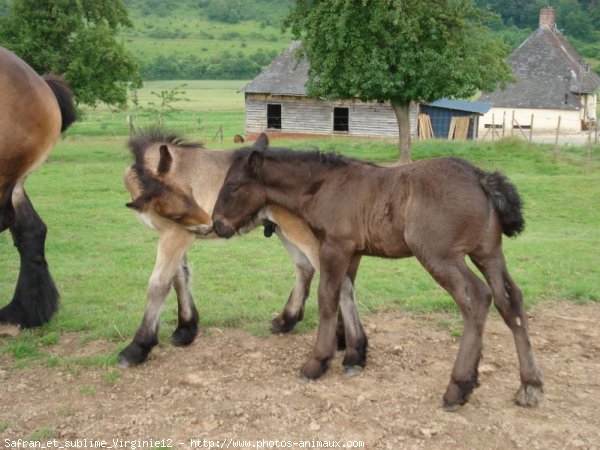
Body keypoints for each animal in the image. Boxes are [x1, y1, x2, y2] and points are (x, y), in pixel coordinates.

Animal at [118, 130, 366, 370]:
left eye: (190, 191)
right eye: (175, 213)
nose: (209, 225)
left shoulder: (175, 235)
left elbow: (159, 285)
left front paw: (137, 347)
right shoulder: (176, 234)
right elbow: (180, 277)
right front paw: (186, 328)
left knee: (339, 282)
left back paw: (352, 346)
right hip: (282, 229)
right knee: (306, 268)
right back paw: (288, 321)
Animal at [213, 146, 548, 410]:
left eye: (233, 186)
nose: (217, 225)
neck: (324, 185)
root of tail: (481, 177)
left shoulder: (335, 246)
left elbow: (328, 297)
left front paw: (318, 362)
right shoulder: (354, 252)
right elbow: (347, 293)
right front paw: (353, 355)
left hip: (440, 256)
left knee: (477, 298)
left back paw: (458, 387)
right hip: (488, 253)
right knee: (510, 301)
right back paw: (529, 385)